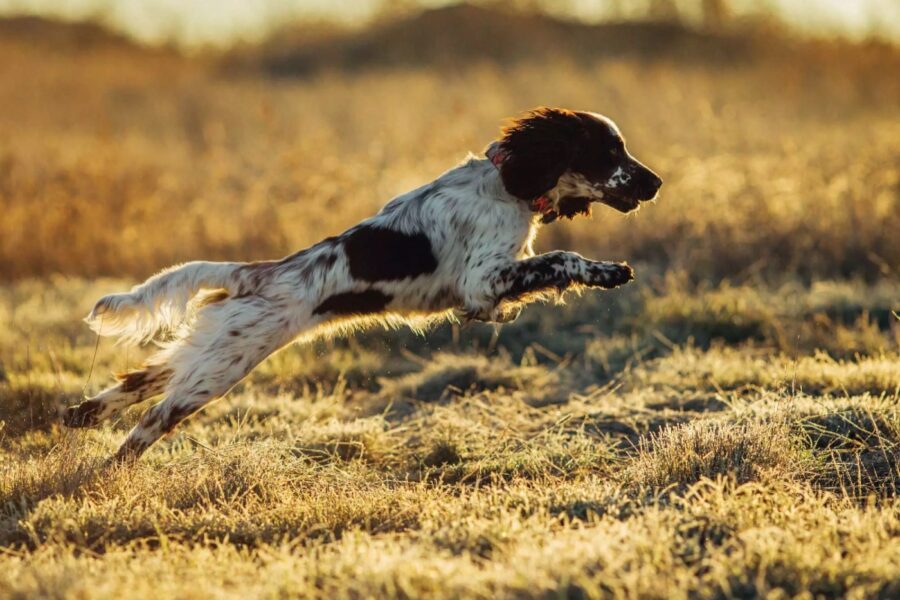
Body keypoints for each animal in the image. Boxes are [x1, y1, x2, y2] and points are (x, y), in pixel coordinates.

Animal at [63, 108, 660, 462]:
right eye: (608, 152)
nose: (656, 182)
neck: (506, 182)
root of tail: (255, 271)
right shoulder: (482, 280)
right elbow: (561, 259)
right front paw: (609, 272)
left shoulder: (489, 290)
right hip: (222, 367)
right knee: (152, 419)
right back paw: (108, 474)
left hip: (209, 349)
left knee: (134, 383)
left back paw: (77, 419)